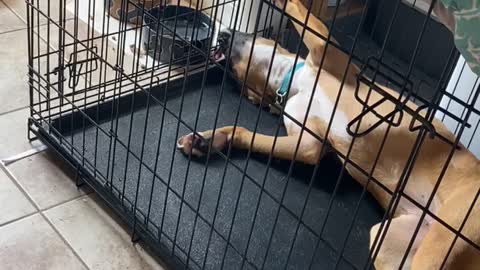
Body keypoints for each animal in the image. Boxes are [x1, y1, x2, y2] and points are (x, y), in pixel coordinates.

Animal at [176, 0, 480, 268]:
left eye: (252, 33)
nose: (221, 35)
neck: (295, 82)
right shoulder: (306, 143)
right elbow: (244, 131)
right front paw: (208, 140)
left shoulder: (325, 48)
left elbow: (298, 11)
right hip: (392, 240)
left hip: (448, 232)